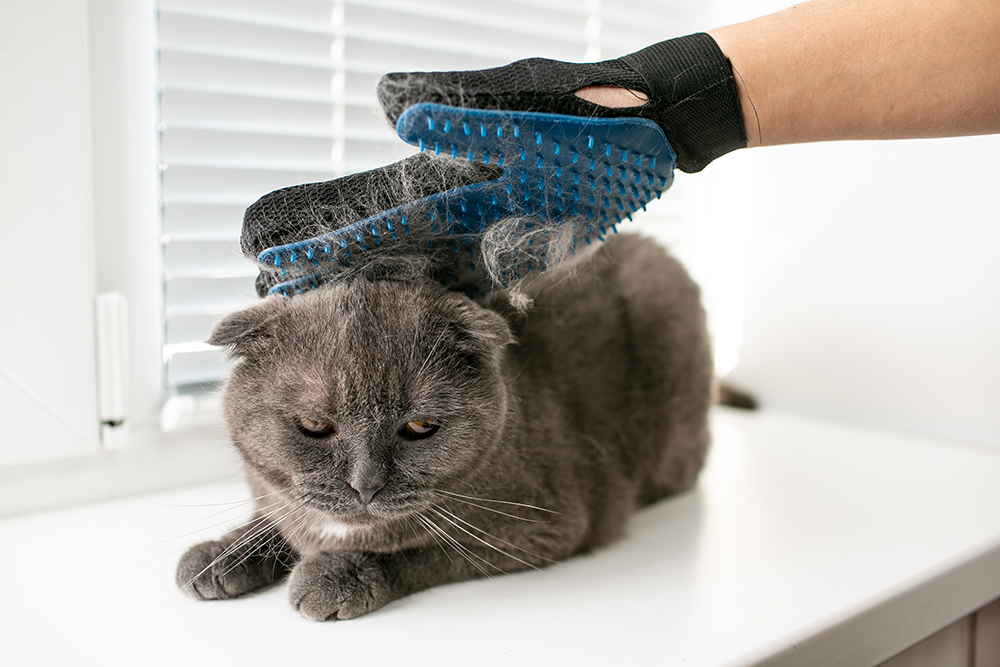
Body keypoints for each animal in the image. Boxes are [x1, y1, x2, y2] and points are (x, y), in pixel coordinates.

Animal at [178, 235, 712, 620]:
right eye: (314, 425)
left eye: (420, 426)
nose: (365, 485)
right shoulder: (275, 493)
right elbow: (271, 520)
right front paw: (218, 556)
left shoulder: (548, 521)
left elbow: (428, 552)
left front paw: (333, 575)